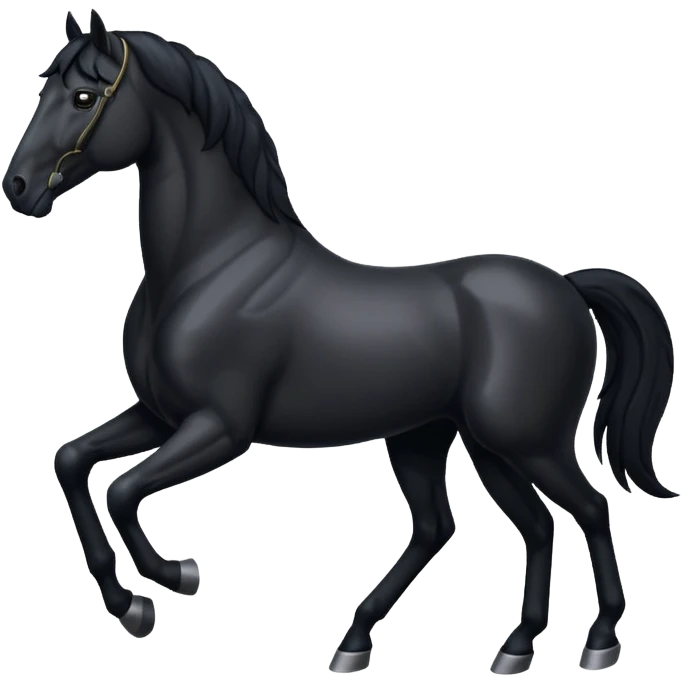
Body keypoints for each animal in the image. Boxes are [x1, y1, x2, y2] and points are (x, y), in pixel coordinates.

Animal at [5, 10, 677, 675]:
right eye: (44, 90)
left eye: (83, 96)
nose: (19, 189)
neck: (210, 267)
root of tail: (566, 285)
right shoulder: (161, 415)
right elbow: (72, 462)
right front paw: (133, 608)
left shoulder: (219, 427)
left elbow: (122, 491)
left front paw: (175, 579)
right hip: (454, 441)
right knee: (494, 528)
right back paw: (459, 646)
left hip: (527, 442)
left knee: (587, 510)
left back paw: (599, 642)